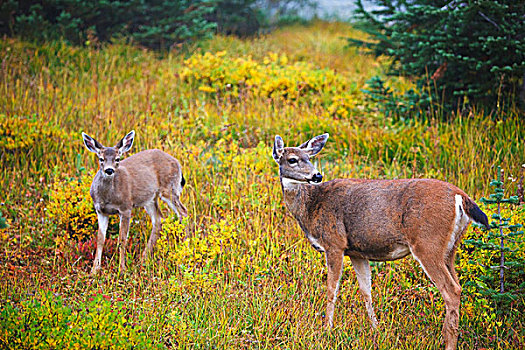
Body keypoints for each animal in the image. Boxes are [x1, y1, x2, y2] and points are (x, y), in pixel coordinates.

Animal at [81, 131, 187, 274]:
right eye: (101, 159)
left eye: (117, 159)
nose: (109, 170)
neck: (108, 197)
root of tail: (177, 162)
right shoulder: (100, 211)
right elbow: (100, 239)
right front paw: (94, 270)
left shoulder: (126, 207)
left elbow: (122, 239)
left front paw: (122, 269)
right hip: (150, 198)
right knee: (158, 219)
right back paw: (144, 257)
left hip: (169, 189)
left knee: (183, 212)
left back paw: (185, 246)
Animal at [272, 133, 490, 348]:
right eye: (293, 159)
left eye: (309, 158)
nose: (317, 175)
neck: (311, 207)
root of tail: (460, 196)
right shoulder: (356, 252)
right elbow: (366, 290)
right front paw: (376, 328)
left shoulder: (334, 243)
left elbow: (332, 288)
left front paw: (326, 329)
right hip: (450, 248)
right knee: (458, 286)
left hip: (428, 244)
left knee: (451, 290)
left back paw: (448, 341)